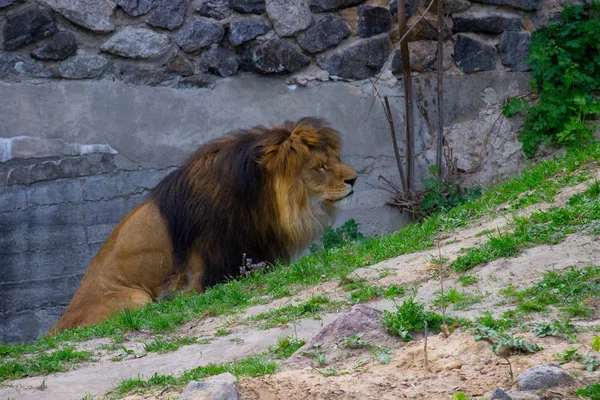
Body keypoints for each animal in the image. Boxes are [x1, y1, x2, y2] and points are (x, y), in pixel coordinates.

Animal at [49, 117, 358, 332]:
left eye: (337, 159)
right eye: (320, 167)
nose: (354, 179)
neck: (260, 200)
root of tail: (55, 327)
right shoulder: (202, 273)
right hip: (135, 298)